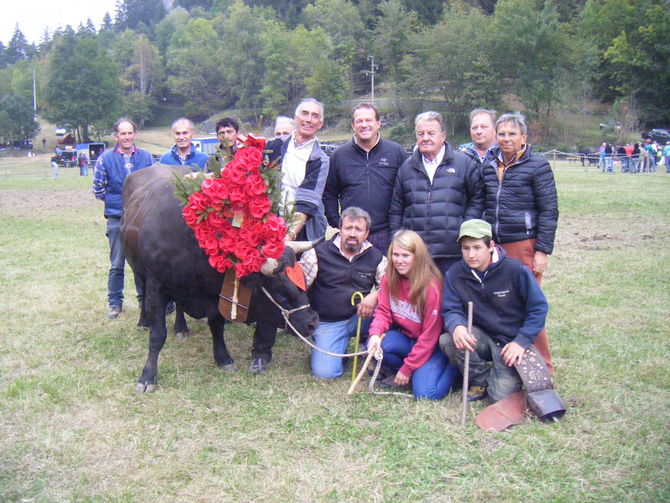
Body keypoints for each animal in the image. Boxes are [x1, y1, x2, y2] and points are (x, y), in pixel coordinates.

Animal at [122, 165, 322, 394]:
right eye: (280, 292)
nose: (313, 322)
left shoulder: (214, 295)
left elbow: (216, 326)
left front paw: (223, 358)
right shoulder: (157, 287)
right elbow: (157, 335)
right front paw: (147, 376)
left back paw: (181, 328)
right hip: (139, 271)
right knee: (142, 292)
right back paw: (143, 322)